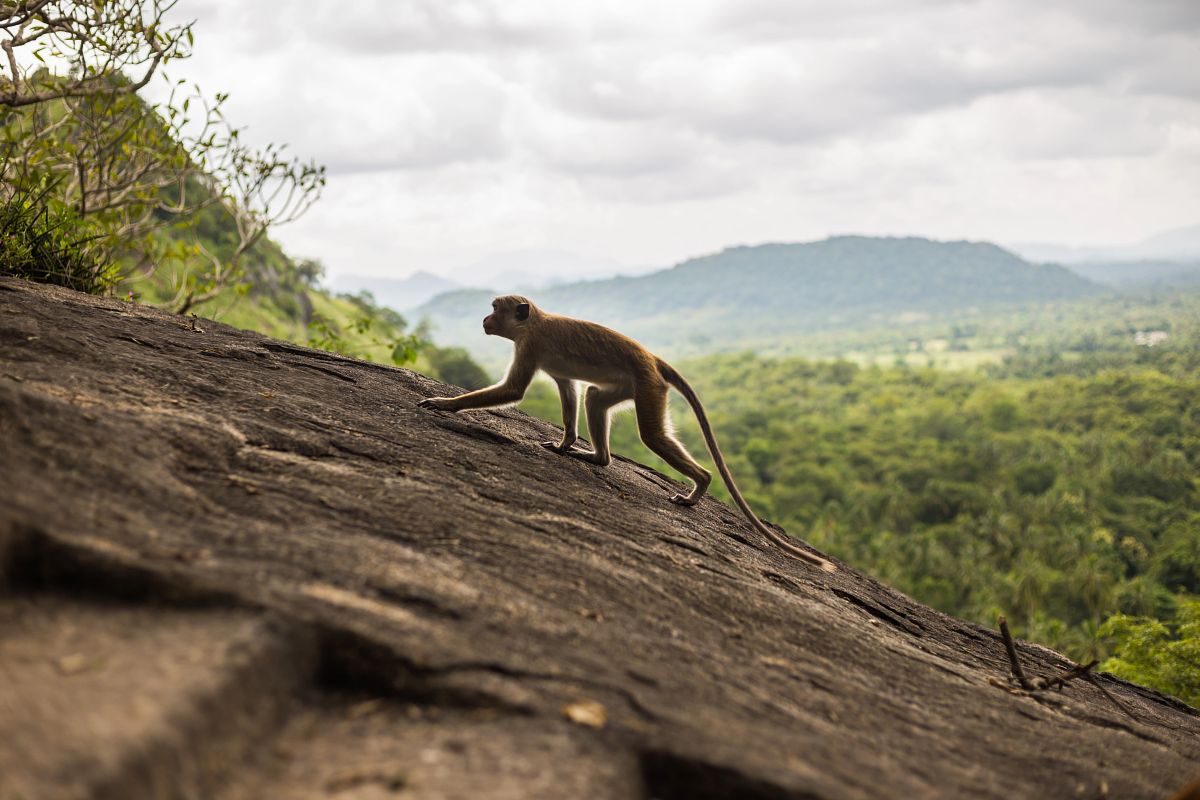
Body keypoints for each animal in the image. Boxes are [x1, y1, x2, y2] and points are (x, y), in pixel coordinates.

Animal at [417, 297, 840, 573]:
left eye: (495, 308)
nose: (484, 319)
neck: (532, 323)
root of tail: (653, 358)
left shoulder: (530, 345)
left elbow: (515, 390)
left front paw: (444, 404)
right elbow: (569, 391)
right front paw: (565, 443)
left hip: (649, 385)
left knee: (651, 435)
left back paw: (699, 486)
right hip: (631, 384)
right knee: (594, 398)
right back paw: (598, 457)